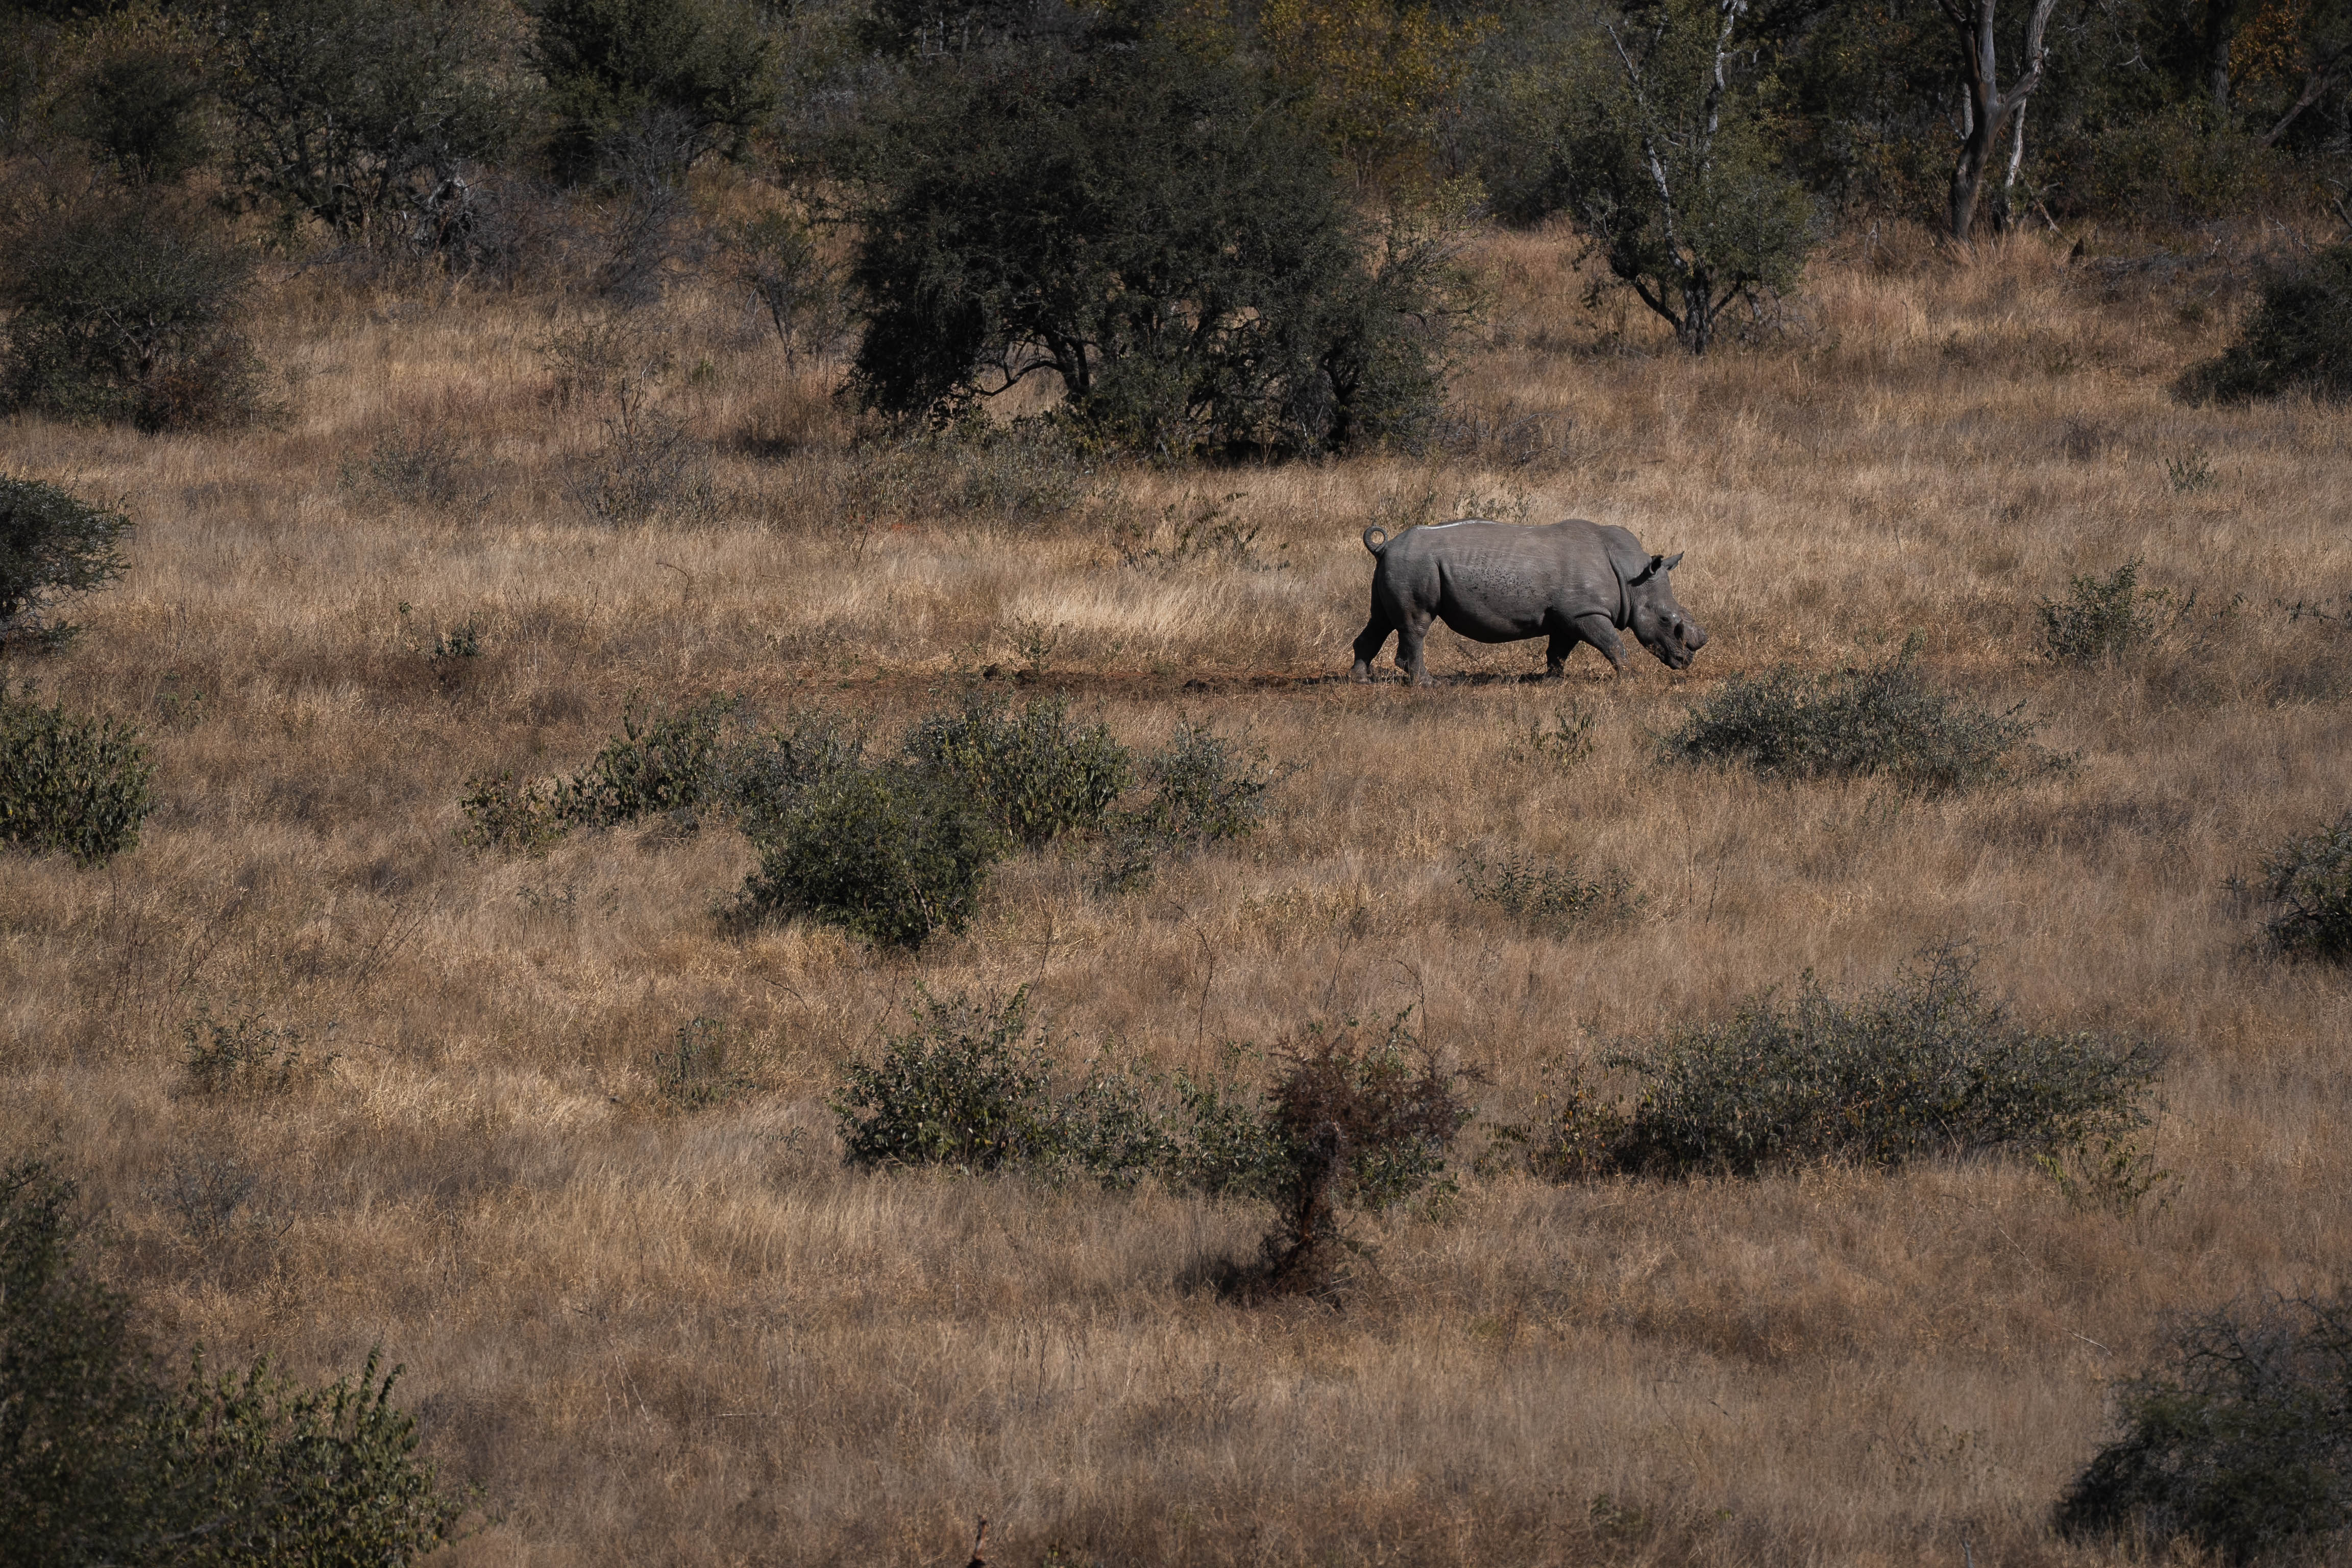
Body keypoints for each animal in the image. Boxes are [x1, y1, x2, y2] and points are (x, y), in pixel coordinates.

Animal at [1350, 518, 1708, 685]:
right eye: (1666, 620)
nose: (1686, 662)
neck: (1633, 576)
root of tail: (1384, 547)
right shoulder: (1585, 612)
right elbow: (1612, 643)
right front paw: (1631, 677)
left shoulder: (1569, 614)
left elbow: (1559, 649)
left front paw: (1552, 680)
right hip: (1415, 564)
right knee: (1417, 623)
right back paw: (1428, 684)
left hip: (1400, 563)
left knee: (1380, 620)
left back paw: (1362, 680)